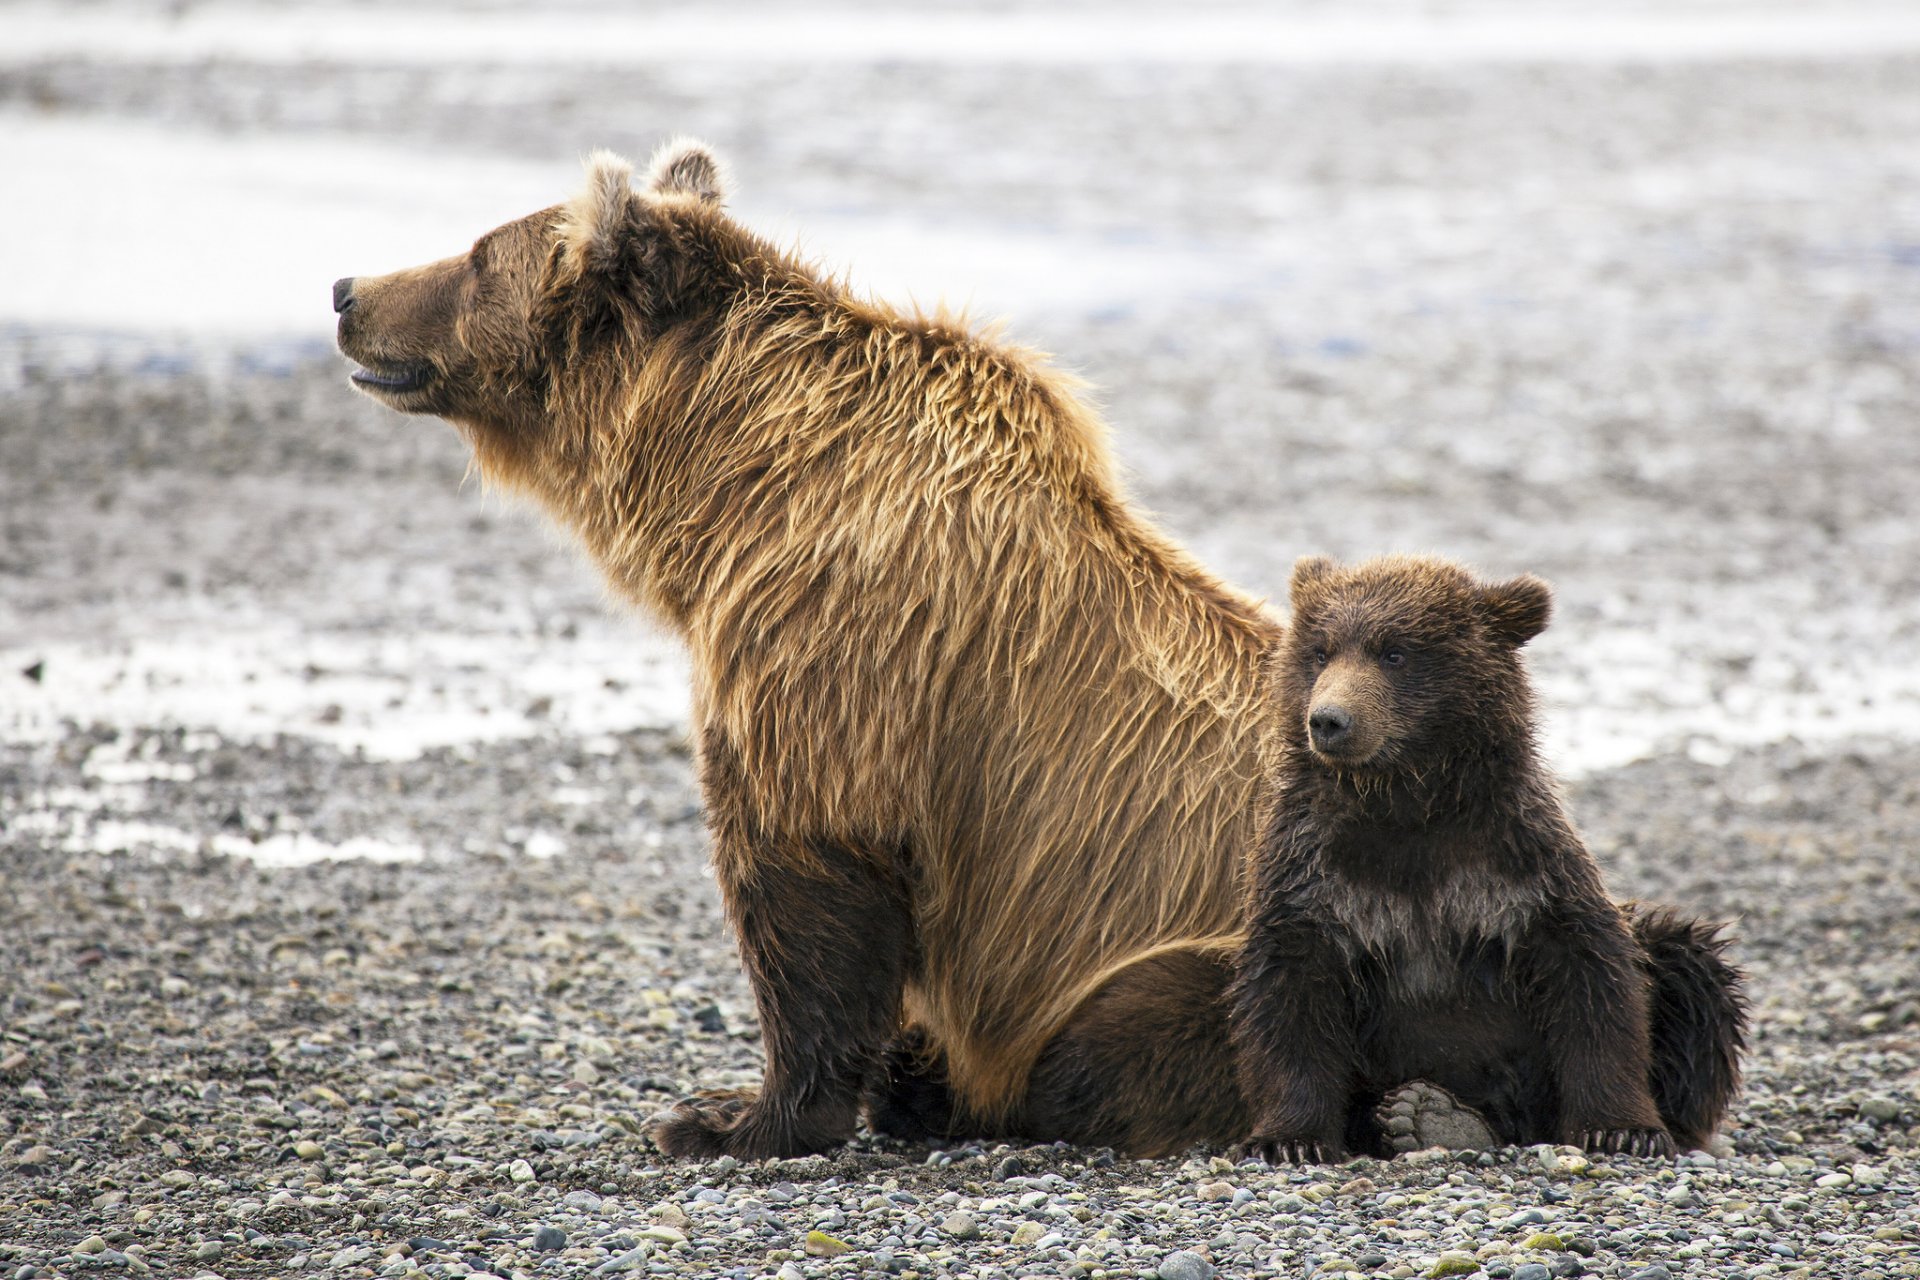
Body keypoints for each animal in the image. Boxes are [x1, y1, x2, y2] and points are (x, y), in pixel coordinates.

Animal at [333, 140, 1276, 1158]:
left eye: (474, 255)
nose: (347, 290)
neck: (737, 484)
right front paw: (872, 1081)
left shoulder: (832, 651)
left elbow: (802, 872)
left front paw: (735, 1116)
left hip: (1220, 939)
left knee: (1125, 1039)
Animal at [1229, 554, 1746, 1162]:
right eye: (1321, 651)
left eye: (1394, 651)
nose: (1329, 720)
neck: (1406, 803)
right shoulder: (1317, 873)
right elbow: (1288, 993)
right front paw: (1291, 1139)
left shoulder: (1517, 862)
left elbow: (1594, 979)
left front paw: (1622, 1128)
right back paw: (1428, 1116)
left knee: (1692, 964)